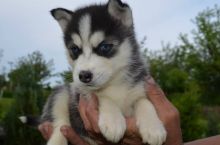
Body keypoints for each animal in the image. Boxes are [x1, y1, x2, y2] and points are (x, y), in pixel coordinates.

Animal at [37, 0, 166, 145]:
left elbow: (144, 101)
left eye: (104, 46)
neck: (114, 82)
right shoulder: (82, 93)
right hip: (62, 93)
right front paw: (113, 121)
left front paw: (153, 127)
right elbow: (102, 97)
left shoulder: (141, 86)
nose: (84, 76)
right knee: (61, 123)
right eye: (75, 49)